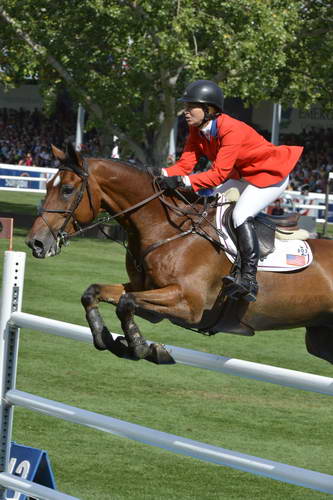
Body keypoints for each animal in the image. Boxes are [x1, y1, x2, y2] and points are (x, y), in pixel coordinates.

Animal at [25, 143, 332, 366]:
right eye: (47, 186)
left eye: (67, 190)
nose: (35, 243)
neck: (166, 228)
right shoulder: (143, 287)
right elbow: (94, 293)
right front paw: (107, 339)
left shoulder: (188, 305)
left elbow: (126, 303)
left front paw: (142, 348)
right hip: (319, 339)